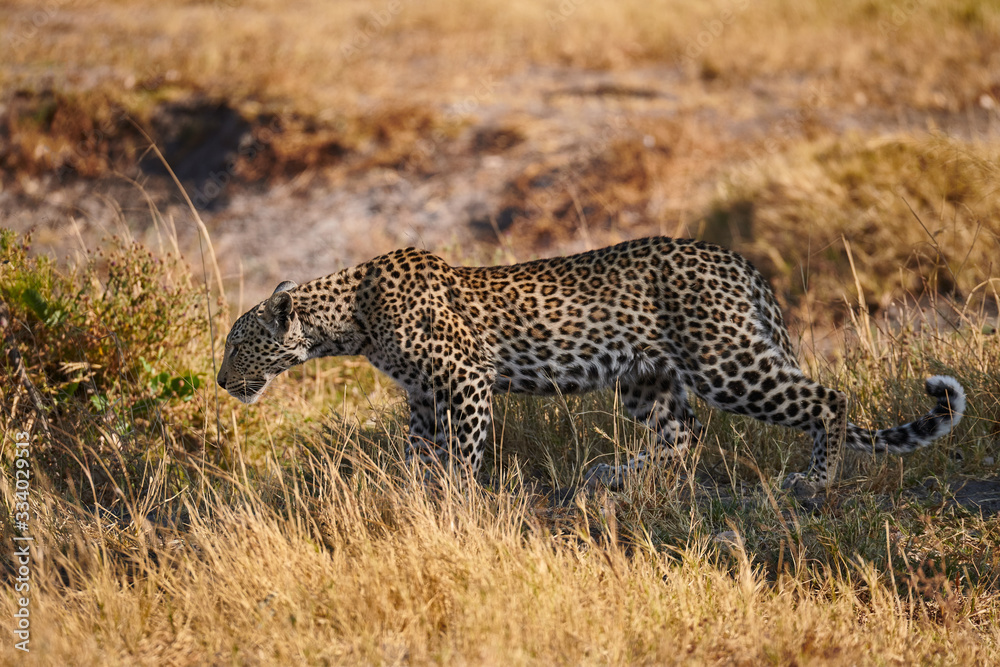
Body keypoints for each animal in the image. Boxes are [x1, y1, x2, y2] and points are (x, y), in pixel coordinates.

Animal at [217, 236, 965, 495]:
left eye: (235, 343)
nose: (221, 380)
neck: (349, 316)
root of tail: (736, 259)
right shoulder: (423, 396)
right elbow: (417, 452)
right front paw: (411, 496)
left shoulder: (464, 379)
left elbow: (462, 451)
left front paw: (455, 500)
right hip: (646, 378)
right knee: (682, 438)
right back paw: (617, 476)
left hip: (724, 361)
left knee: (828, 401)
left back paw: (815, 479)